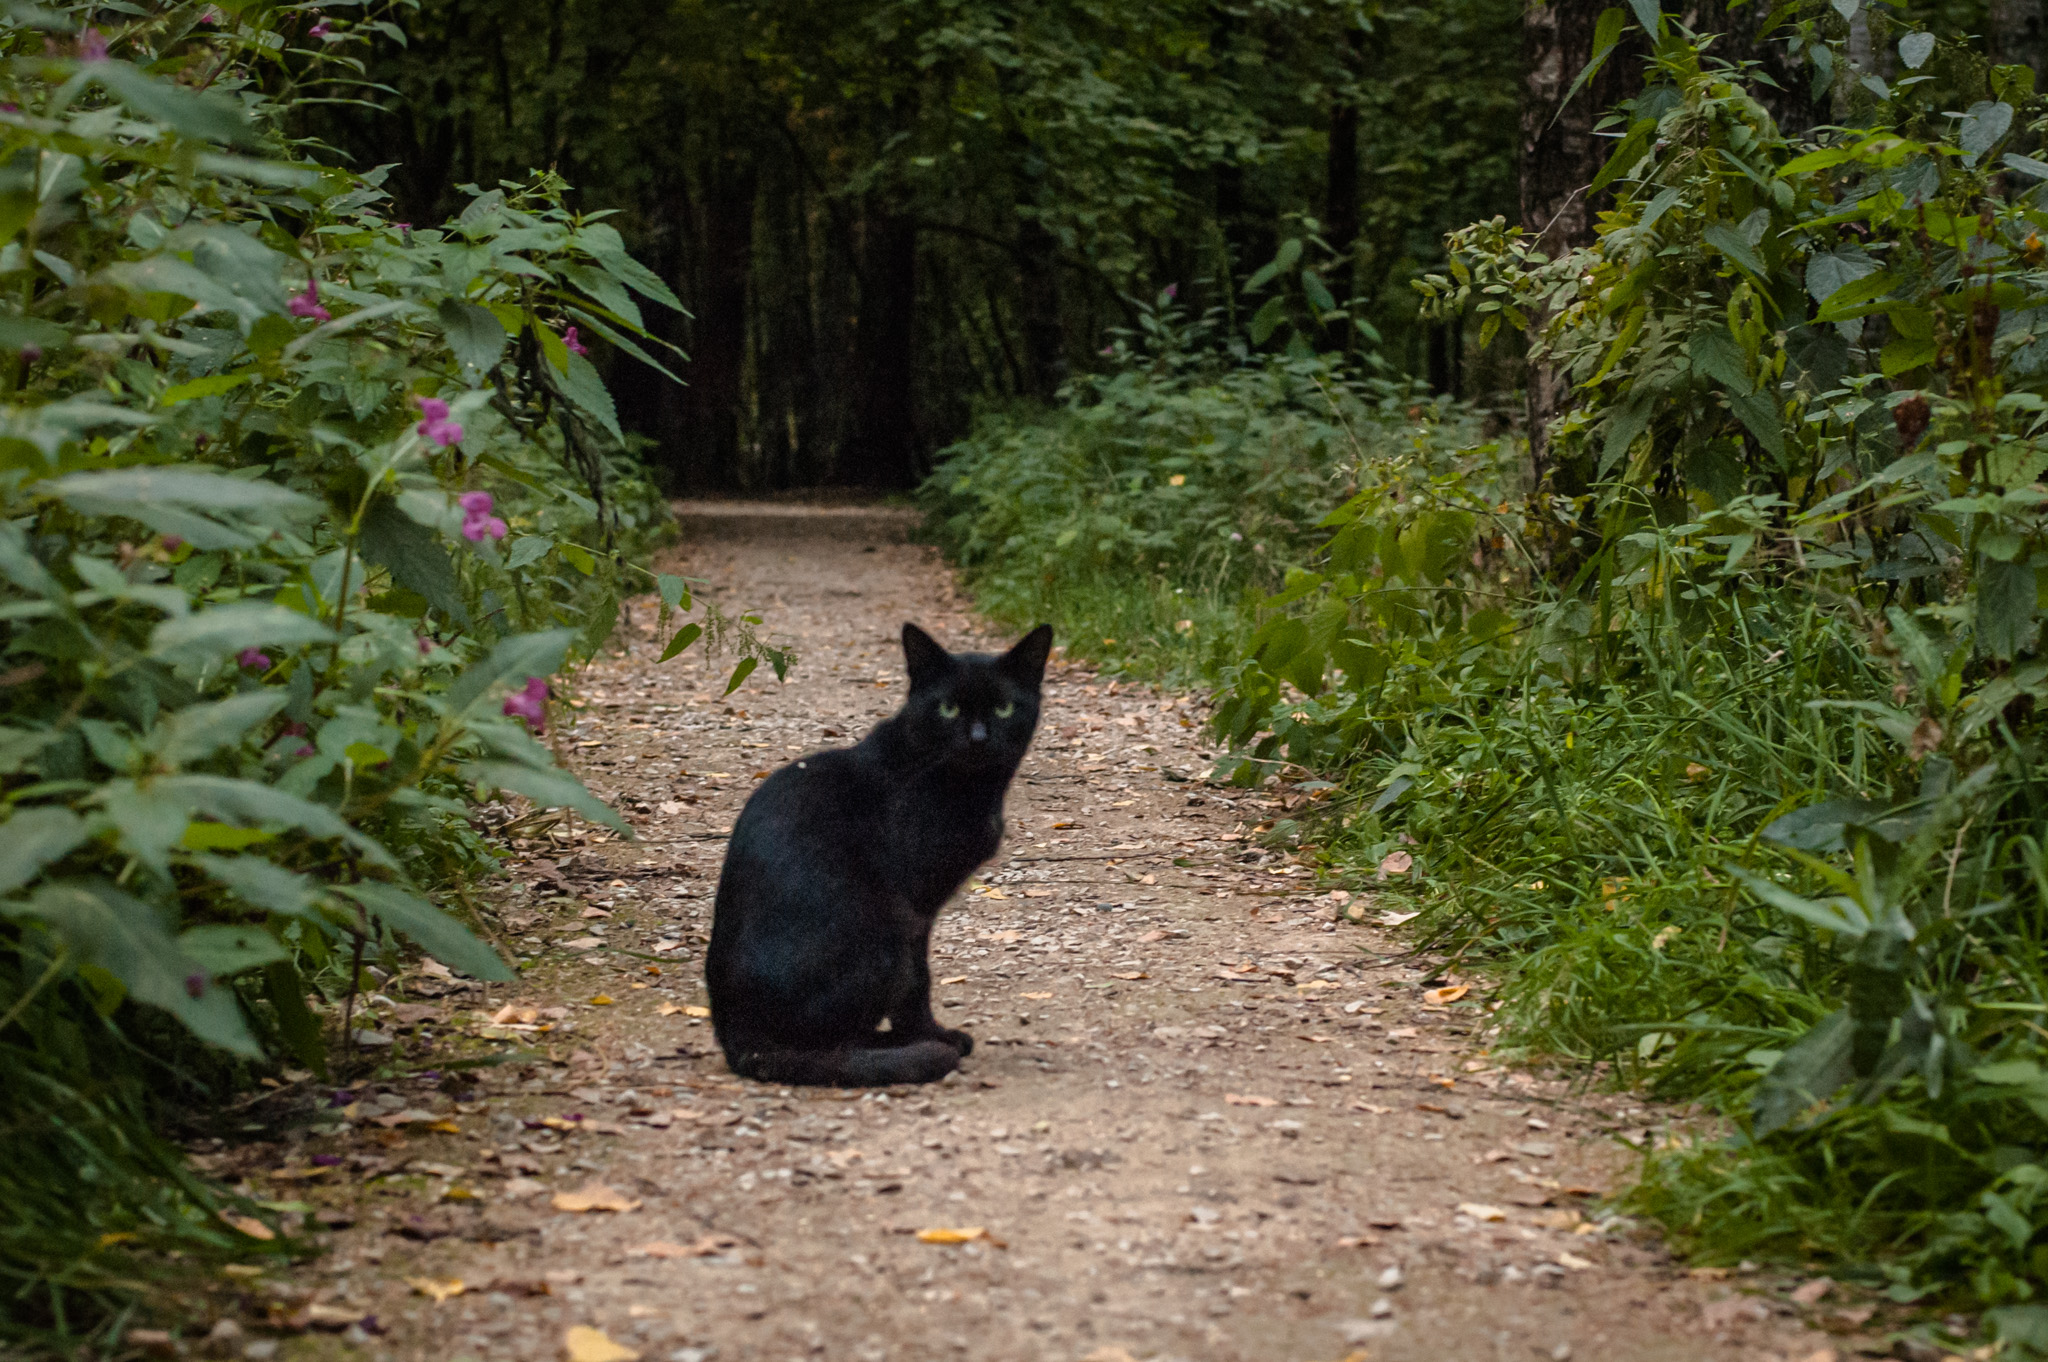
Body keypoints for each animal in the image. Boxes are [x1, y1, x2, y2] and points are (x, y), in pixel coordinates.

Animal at [708, 622, 1056, 1081]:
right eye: (948, 709)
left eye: (1003, 708)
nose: (978, 738)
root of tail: (740, 1045)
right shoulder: (914, 904)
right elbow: (919, 981)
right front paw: (930, 1034)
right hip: (881, 934)